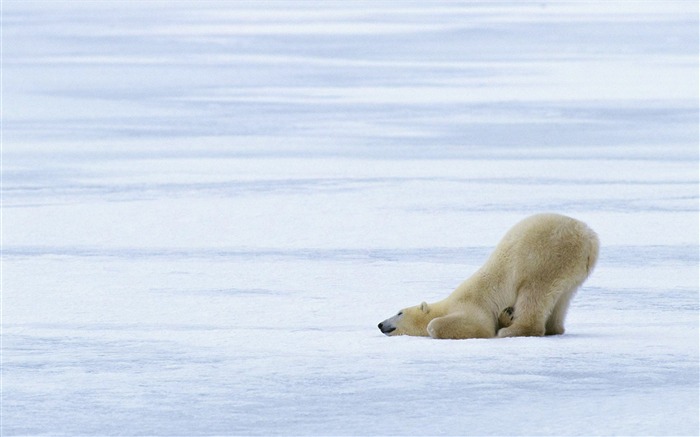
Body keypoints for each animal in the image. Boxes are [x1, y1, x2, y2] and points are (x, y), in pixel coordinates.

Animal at [380, 213, 600, 338]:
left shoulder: (472, 306)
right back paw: (553, 328)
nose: (380, 324)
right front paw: (506, 316)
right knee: (562, 298)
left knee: (534, 293)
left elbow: (467, 326)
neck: (447, 304)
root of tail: (589, 238)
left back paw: (513, 331)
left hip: (545, 257)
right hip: (572, 270)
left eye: (399, 312)